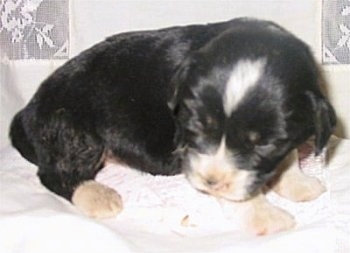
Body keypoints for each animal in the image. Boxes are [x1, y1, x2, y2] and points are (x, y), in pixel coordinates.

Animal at [9, 17, 334, 235]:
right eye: (197, 126)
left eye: (265, 144)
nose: (210, 182)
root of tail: (27, 112)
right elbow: (239, 195)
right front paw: (267, 217)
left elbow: (289, 157)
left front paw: (299, 183)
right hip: (74, 131)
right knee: (54, 173)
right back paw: (98, 196)